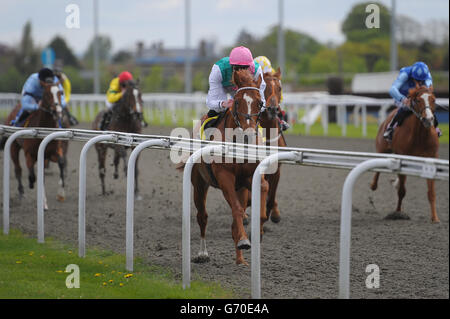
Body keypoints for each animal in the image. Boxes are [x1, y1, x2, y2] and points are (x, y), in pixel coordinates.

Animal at [178, 70, 270, 268]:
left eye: (260, 103)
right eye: (236, 102)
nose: (249, 136)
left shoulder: (250, 177)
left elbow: (263, 188)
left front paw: (257, 231)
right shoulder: (224, 176)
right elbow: (236, 209)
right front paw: (244, 240)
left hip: (240, 188)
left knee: (235, 219)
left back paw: (240, 259)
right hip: (199, 184)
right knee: (202, 216)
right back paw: (203, 253)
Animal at [370, 84, 442, 224]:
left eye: (434, 100)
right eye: (418, 100)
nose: (428, 119)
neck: (420, 136)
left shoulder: (431, 158)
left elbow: (431, 193)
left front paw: (435, 218)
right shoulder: (402, 157)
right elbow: (402, 191)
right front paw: (398, 212)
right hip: (382, 148)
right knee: (378, 168)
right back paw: (373, 185)